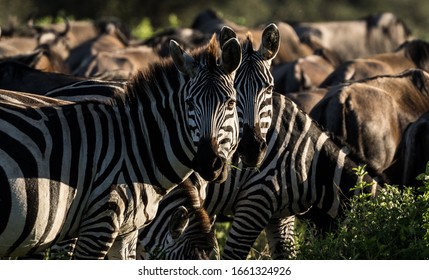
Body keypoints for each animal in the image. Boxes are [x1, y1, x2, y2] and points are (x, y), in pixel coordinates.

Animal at [0, 34, 241, 260]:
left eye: (231, 103)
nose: (208, 162)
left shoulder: (126, 232)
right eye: (189, 103)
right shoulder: (96, 224)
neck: (139, 147)